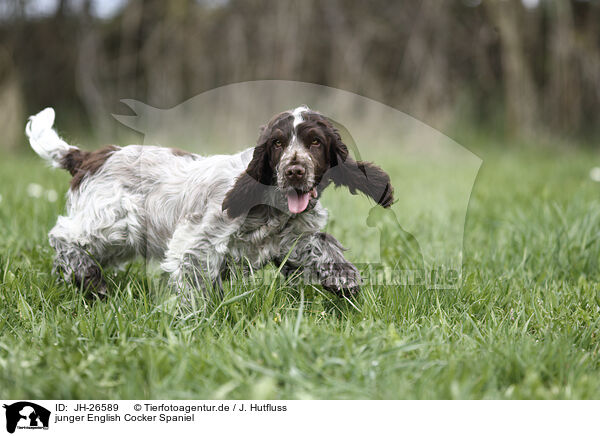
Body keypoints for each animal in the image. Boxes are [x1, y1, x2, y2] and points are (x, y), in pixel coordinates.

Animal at [25, 105, 394, 300]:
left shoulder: (294, 238)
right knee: (64, 235)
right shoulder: (200, 238)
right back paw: (88, 278)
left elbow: (322, 245)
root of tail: (88, 156)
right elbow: (193, 277)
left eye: (315, 142)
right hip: (115, 221)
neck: (271, 207)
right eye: (277, 144)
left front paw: (343, 279)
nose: (294, 171)